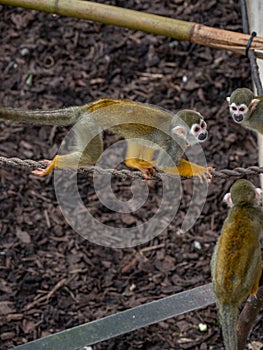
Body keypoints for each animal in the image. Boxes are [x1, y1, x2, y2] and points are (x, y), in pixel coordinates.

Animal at [0, 98, 212, 180]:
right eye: (196, 129)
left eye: (203, 125)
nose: (204, 133)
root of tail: (87, 108)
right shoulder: (174, 144)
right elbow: (165, 164)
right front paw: (199, 170)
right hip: (88, 125)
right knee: (92, 155)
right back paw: (56, 162)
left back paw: (133, 162)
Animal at [212, 180, 263, 350]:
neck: (242, 205)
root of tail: (226, 297)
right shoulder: (258, 212)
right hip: (245, 284)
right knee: (257, 252)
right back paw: (255, 289)